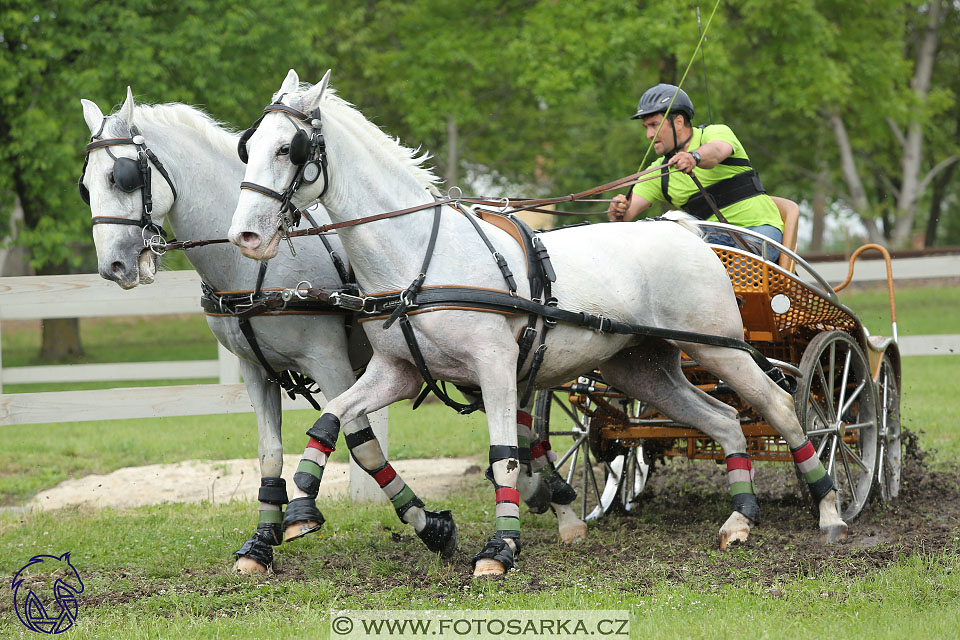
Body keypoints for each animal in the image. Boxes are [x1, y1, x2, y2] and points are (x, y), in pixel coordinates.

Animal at [80, 90, 540, 576]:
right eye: (85, 186)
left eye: (121, 177)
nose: (113, 267)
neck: (257, 269)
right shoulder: (254, 370)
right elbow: (270, 452)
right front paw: (261, 544)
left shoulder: (331, 363)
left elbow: (362, 446)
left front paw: (430, 526)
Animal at [229, 72, 844, 576]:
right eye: (248, 147)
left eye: (289, 148)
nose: (245, 236)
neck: (421, 255)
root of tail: (681, 228)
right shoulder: (398, 371)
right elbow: (329, 419)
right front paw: (299, 505)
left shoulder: (497, 368)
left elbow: (505, 458)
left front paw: (500, 549)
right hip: (643, 369)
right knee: (724, 420)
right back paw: (739, 519)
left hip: (723, 350)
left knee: (779, 407)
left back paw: (831, 510)